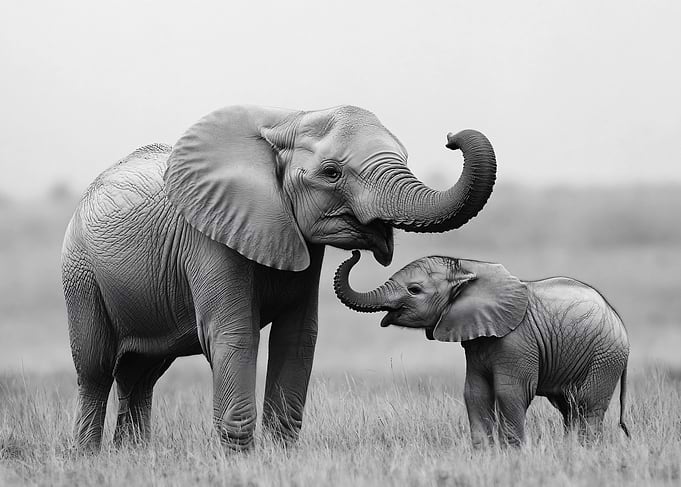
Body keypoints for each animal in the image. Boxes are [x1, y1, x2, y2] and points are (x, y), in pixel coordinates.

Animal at [61, 104, 498, 451]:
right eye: (332, 173)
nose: (451, 138)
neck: (286, 121)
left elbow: (298, 335)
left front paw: (279, 454)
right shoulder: (209, 236)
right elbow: (235, 332)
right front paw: (238, 459)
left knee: (142, 373)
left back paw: (132, 455)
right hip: (80, 275)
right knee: (96, 369)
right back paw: (89, 458)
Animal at [333, 251, 630, 447]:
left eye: (414, 289)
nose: (356, 251)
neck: (469, 267)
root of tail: (620, 323)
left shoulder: (517, 341)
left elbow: (510, 392)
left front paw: (514, 454)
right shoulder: (476, 342)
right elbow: (475, 392)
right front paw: (484, 453)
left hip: (605, 357)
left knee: (587, 405)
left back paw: (585, 449)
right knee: (568, 407)